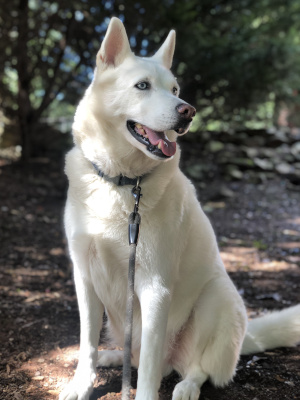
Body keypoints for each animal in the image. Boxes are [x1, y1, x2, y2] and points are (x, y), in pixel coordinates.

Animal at [59, 16, 300, 400]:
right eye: (142, 86)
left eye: (174, 89)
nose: (188, 111)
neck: (124, 183)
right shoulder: (85, 278)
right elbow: (87, 343)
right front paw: (82, 384)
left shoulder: (155, 289)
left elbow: (147, 372)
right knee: (139, 358)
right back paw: (114, 356)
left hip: (215, 300)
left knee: (193, 369)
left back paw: (186, 387)